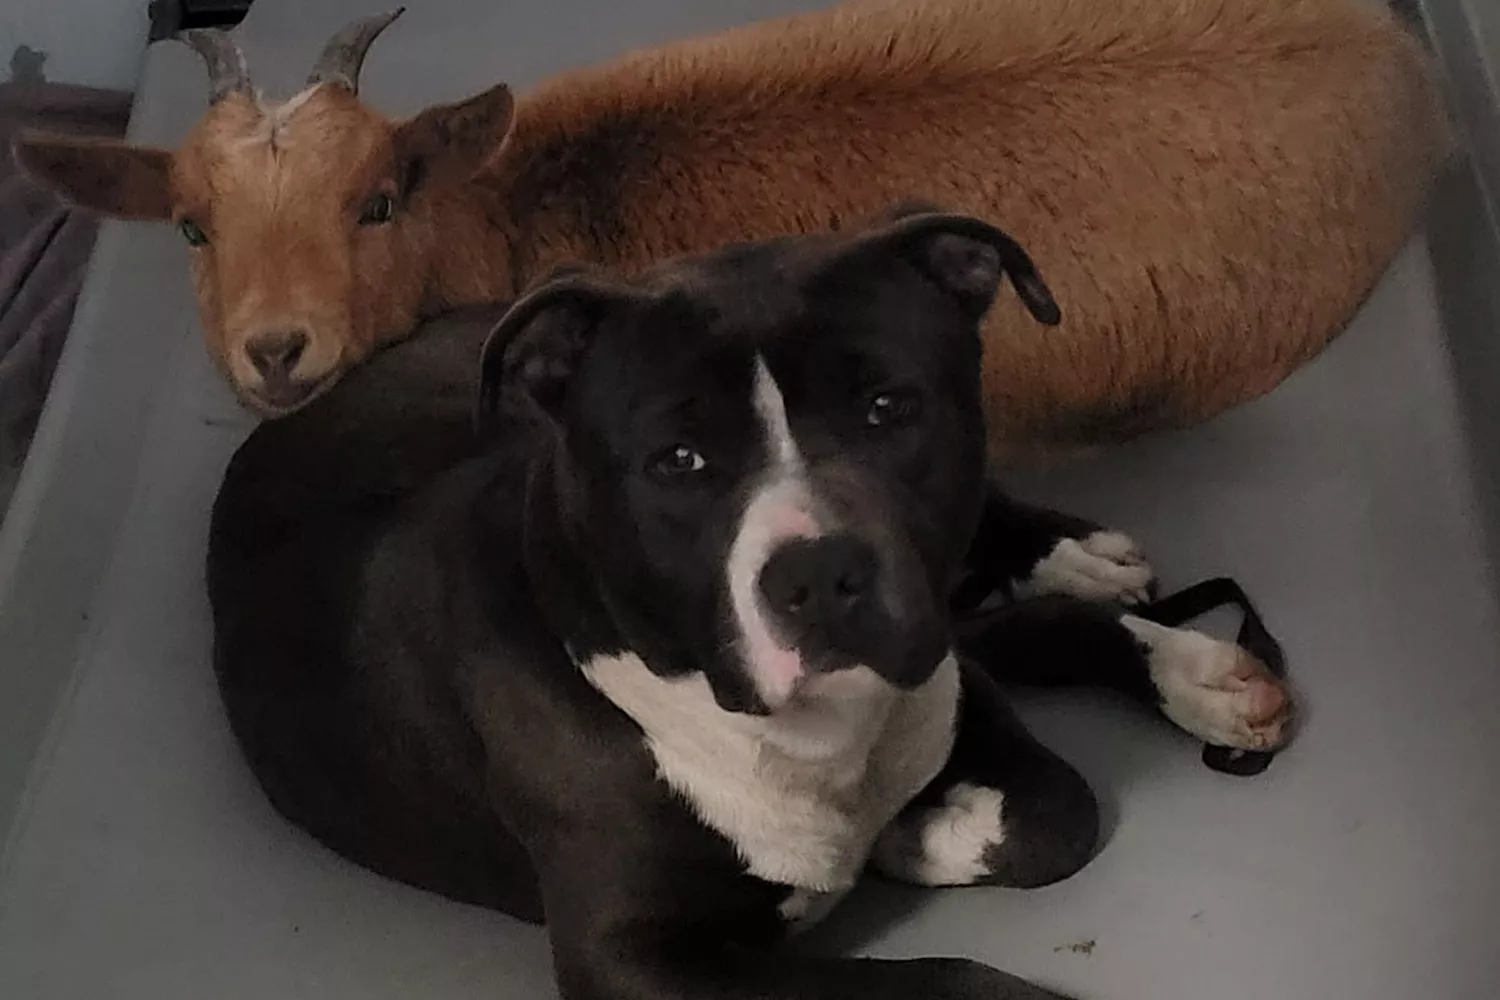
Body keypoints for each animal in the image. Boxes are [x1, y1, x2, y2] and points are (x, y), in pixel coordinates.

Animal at [205, 205, 1296, 1000]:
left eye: (889, 409)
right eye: (678, 460)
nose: (816, 576)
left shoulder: (937, 681)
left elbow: (1060, 809)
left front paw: (918, 830)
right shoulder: (634, 961)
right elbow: (940, 974)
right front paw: (906, 841)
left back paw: (1145, 622)